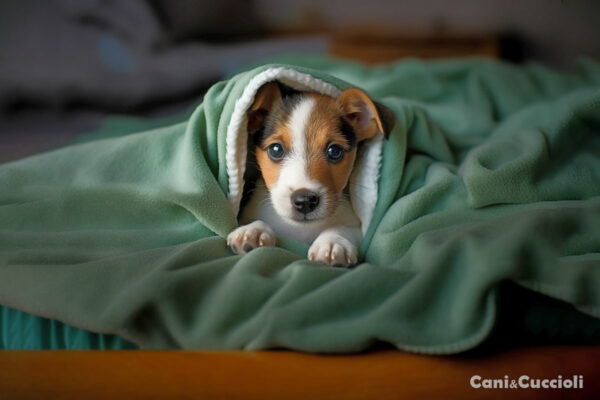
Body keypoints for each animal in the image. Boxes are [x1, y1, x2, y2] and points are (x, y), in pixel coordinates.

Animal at [226, 81, 394, 268]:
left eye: (334, 151)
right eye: (276, 149)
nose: (305, 201)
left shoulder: (355, 226)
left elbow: (341, 228)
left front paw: (332, 242)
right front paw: (252, 230)